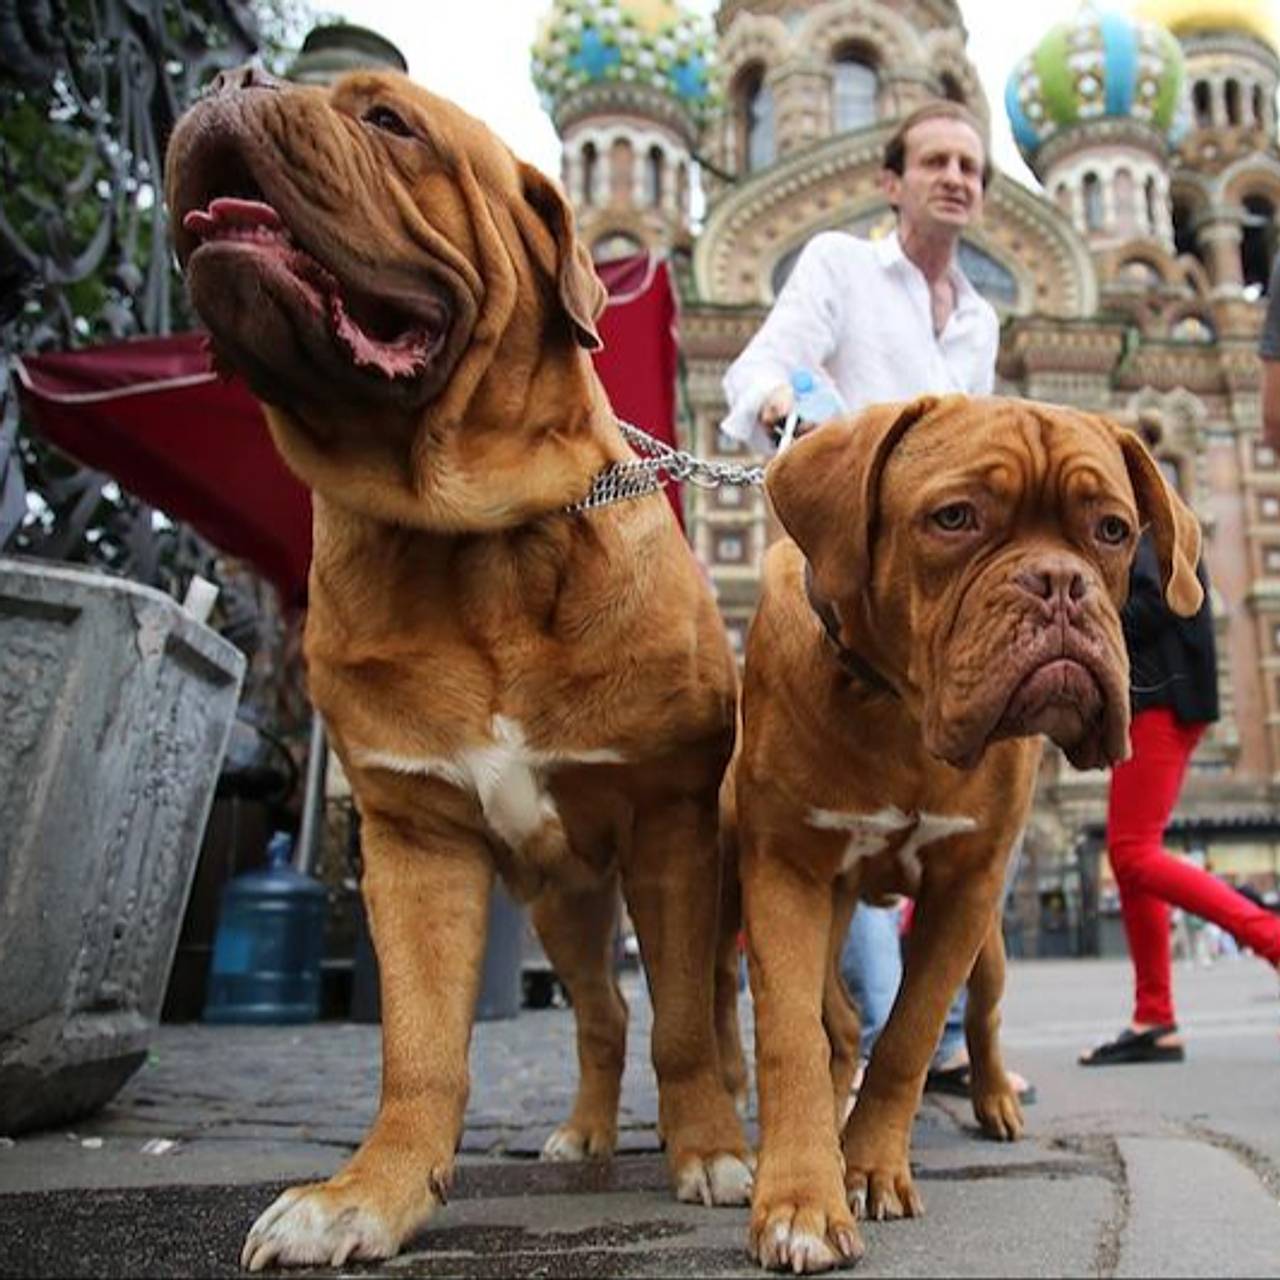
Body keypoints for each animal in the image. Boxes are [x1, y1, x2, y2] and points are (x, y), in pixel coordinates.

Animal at [166, 67, 752, 1269]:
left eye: (388, 121)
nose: (234, 78)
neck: (470, 537)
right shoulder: (413, 837)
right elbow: (420, 1045)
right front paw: (368, 1194)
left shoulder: (669, 823)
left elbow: (681, 1021)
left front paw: (711, 1151)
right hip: (563, 905)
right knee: (599, 1015)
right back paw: (583, 1133)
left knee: (700, 1005)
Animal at [737, 396, 1203, 1269]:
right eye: (954, 518)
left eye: (1113, 530)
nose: (1059, 582)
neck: (897, 707)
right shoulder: (785, 872)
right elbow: (792, 1035)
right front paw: (802, 1197)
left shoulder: (967, 889)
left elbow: (912, 1034)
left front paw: (870, 1167)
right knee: (836, 1021)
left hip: (987, 941)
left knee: (978, 1017)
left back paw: (992, 1100)